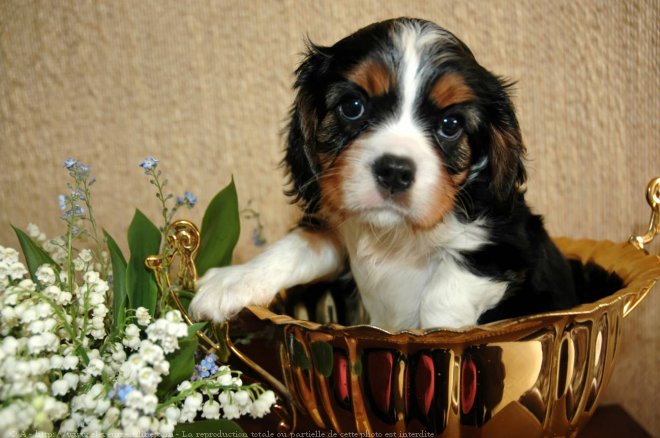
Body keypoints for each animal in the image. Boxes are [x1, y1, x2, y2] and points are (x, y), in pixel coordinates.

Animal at [189, 18, 584, 330]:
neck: (394, 235)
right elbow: (296, 244)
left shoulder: (508, 246)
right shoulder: (337, 225)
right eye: (353, 106)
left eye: (450, 124)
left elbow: (442, 298)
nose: (394, 171)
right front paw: (233, 281)